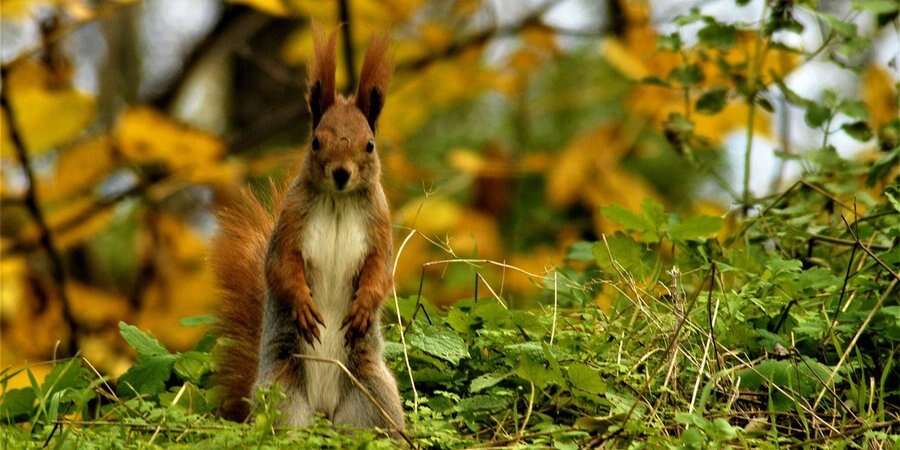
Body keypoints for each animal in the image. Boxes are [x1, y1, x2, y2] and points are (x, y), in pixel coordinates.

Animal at [211, 29, 400, 436]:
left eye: (369, 145)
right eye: (316, 141)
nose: (342, 173)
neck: (338, 201)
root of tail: (325, 411)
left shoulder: (380, 225)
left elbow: (380, 271)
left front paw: (364, 307)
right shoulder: (290, 225)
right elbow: (281, 267)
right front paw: (303, 306)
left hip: (372, 393)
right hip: (282, 394)